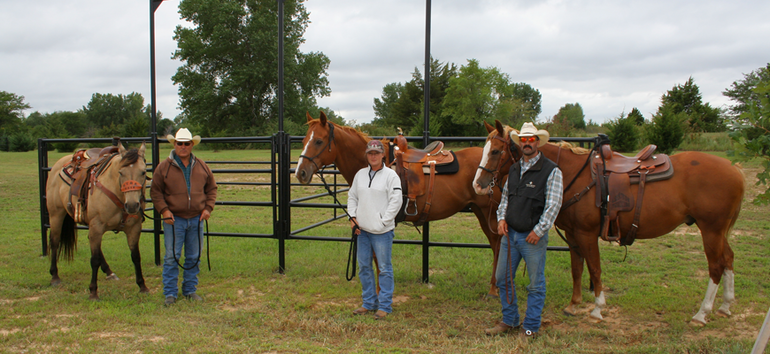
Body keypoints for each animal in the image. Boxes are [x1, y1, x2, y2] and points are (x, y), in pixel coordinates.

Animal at [45, 141, 149, 298]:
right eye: (121, 172)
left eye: (143, 172)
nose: (131, 205)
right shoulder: (97, 226)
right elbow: (94, 260)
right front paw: (93, 292)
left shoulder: (133, 228)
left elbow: (136, 256)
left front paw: (142, 286)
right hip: (56, 214)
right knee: (55, 241)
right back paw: (55, 277)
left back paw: (109, 272)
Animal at [294, 112, 504, 296]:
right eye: (303, 142)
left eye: (318, 141)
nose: (300, 173)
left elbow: (379, 259)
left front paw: (381, 294)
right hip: (481, 212)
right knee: (494, 243)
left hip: (490, 212)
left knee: (498, 244)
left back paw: (495, 289)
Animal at [472, 121, 740, 326]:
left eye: (495, 151)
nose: (478, 184)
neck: (572, 174)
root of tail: (734, 169)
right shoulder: (573, 235)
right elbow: (577, 268)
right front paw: (573, 305)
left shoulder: (587, 234)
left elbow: (595, 268)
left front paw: (597, 309)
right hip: (719, 232)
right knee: (728, 259)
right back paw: (725, 306)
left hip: (711, 230)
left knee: (716, 266)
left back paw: (701, 314)